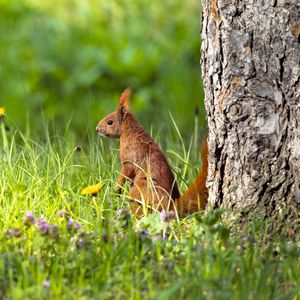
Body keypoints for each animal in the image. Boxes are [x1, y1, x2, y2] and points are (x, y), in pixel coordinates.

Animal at [96, 88, 209, 217]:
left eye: (110, 122)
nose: (97, 129)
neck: (130, 132)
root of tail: (170, 208)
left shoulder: (129, 159)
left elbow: (125, 173)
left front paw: (117, 189)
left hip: (140, 191)